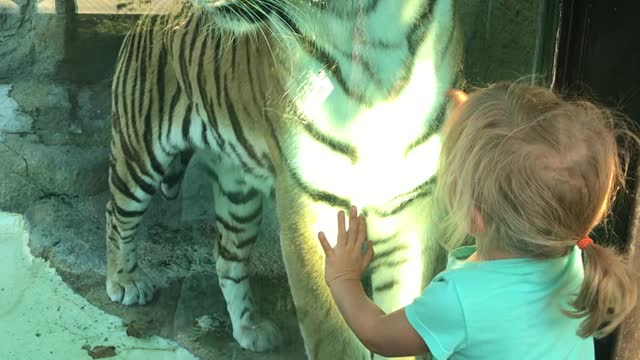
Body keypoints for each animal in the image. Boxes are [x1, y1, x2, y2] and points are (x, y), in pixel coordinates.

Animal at [106, 0, 460, 358]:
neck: (372, 38)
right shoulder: (312, 205)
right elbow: (333, 335)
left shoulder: (409, 209)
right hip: (140, 152)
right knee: (116, 215)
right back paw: (125, 282)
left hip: (238, 197)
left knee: (227, 258)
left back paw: (249, 329)